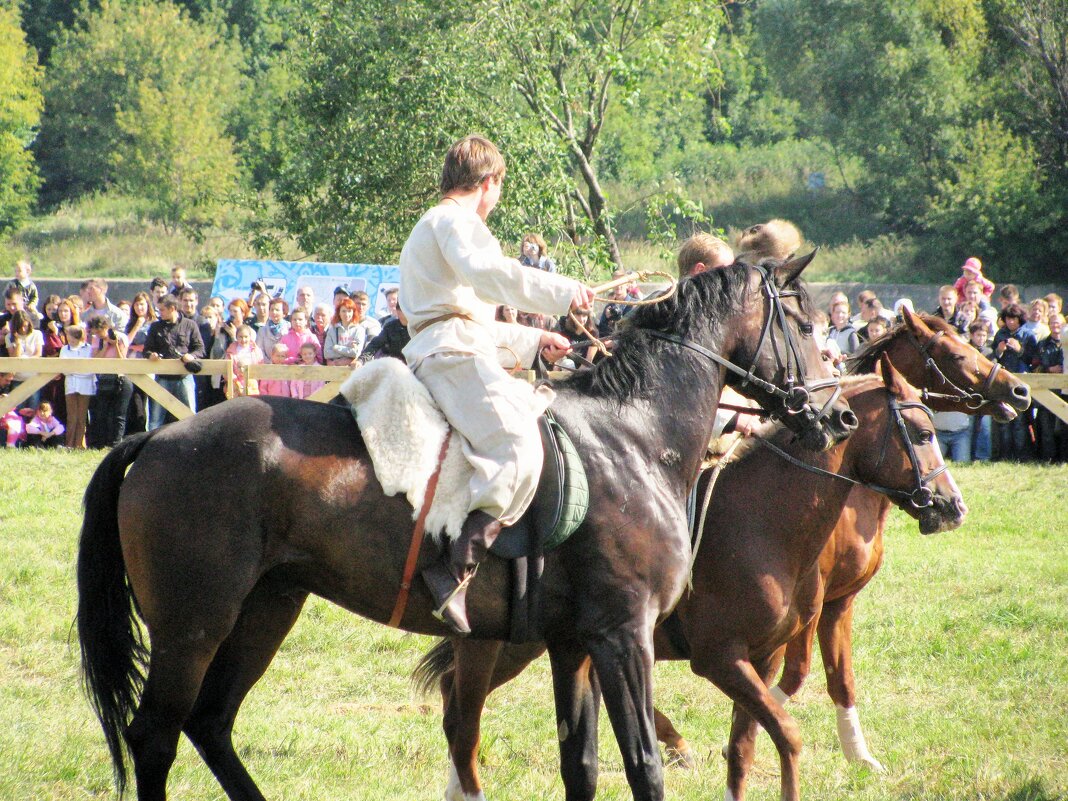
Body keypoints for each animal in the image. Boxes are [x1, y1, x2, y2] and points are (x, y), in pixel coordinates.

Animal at [79, 258, 854, 801]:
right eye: (803, 325)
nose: (839, 413)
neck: (633, 435)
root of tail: (158, 438)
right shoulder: (622, 637)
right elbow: (643, 766)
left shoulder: (573, 645)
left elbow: (583, 765)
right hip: (195, 626)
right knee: (155, 736)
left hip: (266, 609)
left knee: (210, 723)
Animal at [412, 358, 965, 801]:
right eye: (921, 434)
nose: (952, 506)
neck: (765, 520)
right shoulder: (720, 659)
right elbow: (787, 731)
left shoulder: (766, 655)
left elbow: (746, 748)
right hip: (498, 642)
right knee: (459, 709)